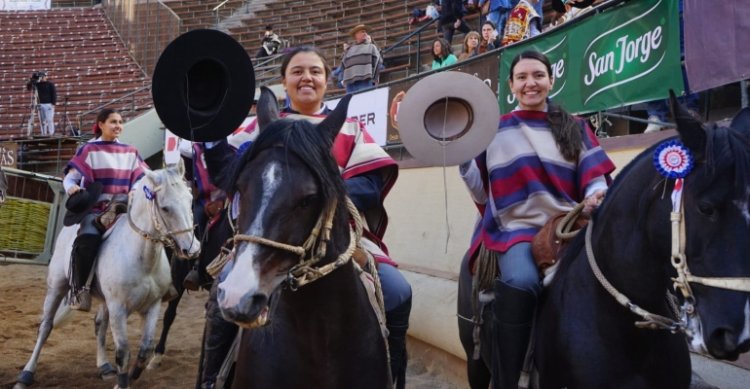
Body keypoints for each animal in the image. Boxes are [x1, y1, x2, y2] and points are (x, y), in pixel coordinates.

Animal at [15, 161, 203, 388]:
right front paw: (122, 382)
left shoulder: (152, 306)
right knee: (45, 326)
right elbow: (123, 352)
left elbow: (145, 348)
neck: (142, 258)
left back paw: (104, 366)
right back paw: (26, 374)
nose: (192, 249)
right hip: (57, 286)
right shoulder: (118, 308)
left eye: (190, 200)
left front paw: (132, 376)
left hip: (104, 301)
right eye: (165, 208)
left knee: (99, 325)